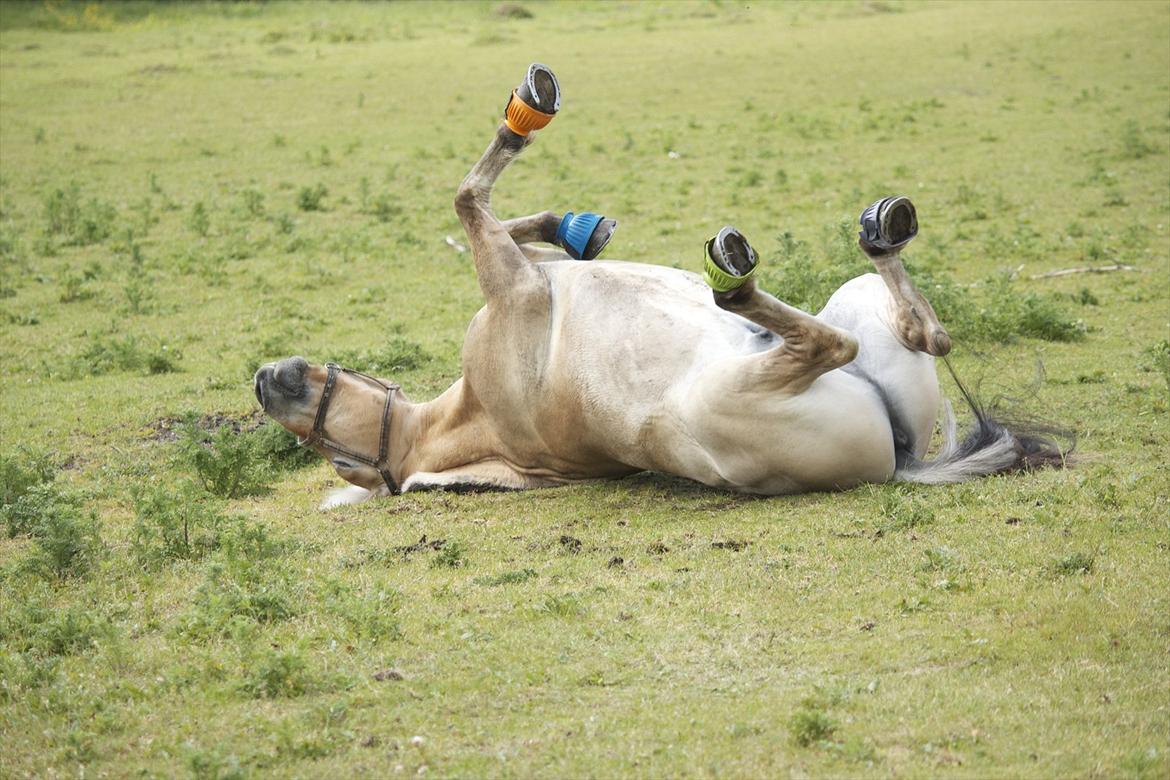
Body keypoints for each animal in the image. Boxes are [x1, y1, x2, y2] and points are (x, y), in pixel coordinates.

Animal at [251, 64, 1067, 509]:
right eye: (333, 457)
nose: (266, 378)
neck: (473, 414)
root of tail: (901, 464)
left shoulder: (523, 276)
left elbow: (507, 218)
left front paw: (579, 226)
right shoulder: (515, 287)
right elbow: (466, 198)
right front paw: (528, 114)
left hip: (861, 310)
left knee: (926, 329)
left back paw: (877, 228)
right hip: (727, 395)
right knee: (836, 342)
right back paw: (733, 279)